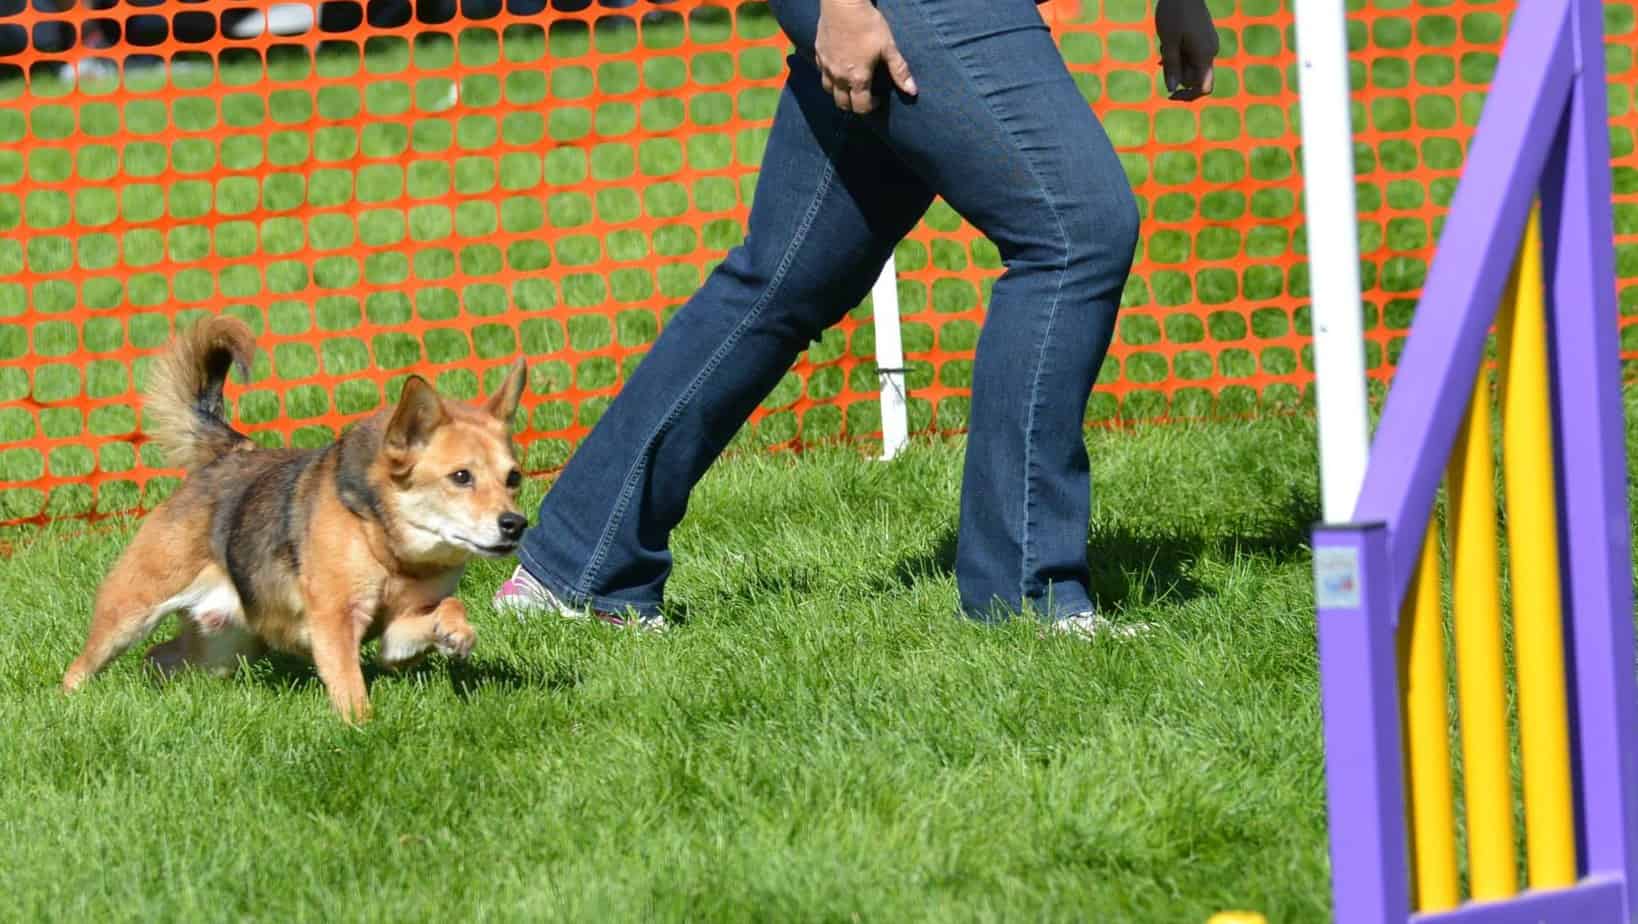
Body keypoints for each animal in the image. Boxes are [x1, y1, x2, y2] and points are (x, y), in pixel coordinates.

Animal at [59, 317, 524, 720]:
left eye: (514, 478)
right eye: (461, 476)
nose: (515, 524)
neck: (383, 543)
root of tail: (228, 452)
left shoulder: (396, 633)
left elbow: (447, 606)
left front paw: (454, 632)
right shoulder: (335, 623)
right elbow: (349, 687)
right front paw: (361, 727)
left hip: (226, 645)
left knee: (160, 657)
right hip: (130, 612)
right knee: (81, 667)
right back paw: (69, 705)